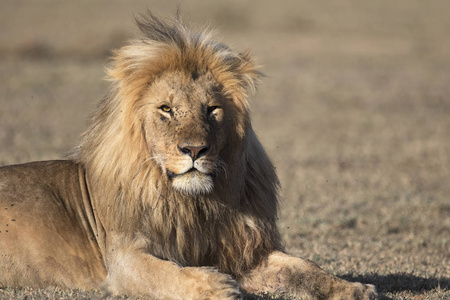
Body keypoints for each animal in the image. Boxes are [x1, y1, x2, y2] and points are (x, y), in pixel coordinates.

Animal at [0, 13, 376, 300]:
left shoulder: (243, 252)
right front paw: (217, 286)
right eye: (166, 109)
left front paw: (353, 288)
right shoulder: (123, 259)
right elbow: (168, 274)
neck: (191, 204)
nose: (194, 150)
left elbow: (304, 267)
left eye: (211, 109)